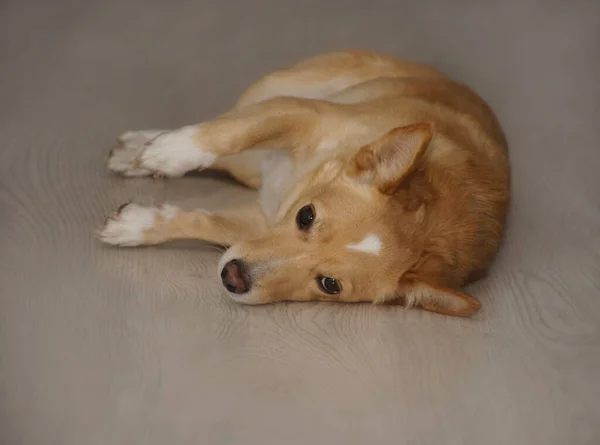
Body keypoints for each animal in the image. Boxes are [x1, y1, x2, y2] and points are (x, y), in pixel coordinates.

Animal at [98, 51, 510, 316]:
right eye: (306, 217)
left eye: (329, 285)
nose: (233, 277)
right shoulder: (304, 113)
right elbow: (229, 133)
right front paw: (171, 153)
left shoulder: (257, 223)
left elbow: (204, 222)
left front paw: (138, 225)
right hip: (278, 91)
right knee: (227, 126)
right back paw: (146, 147)